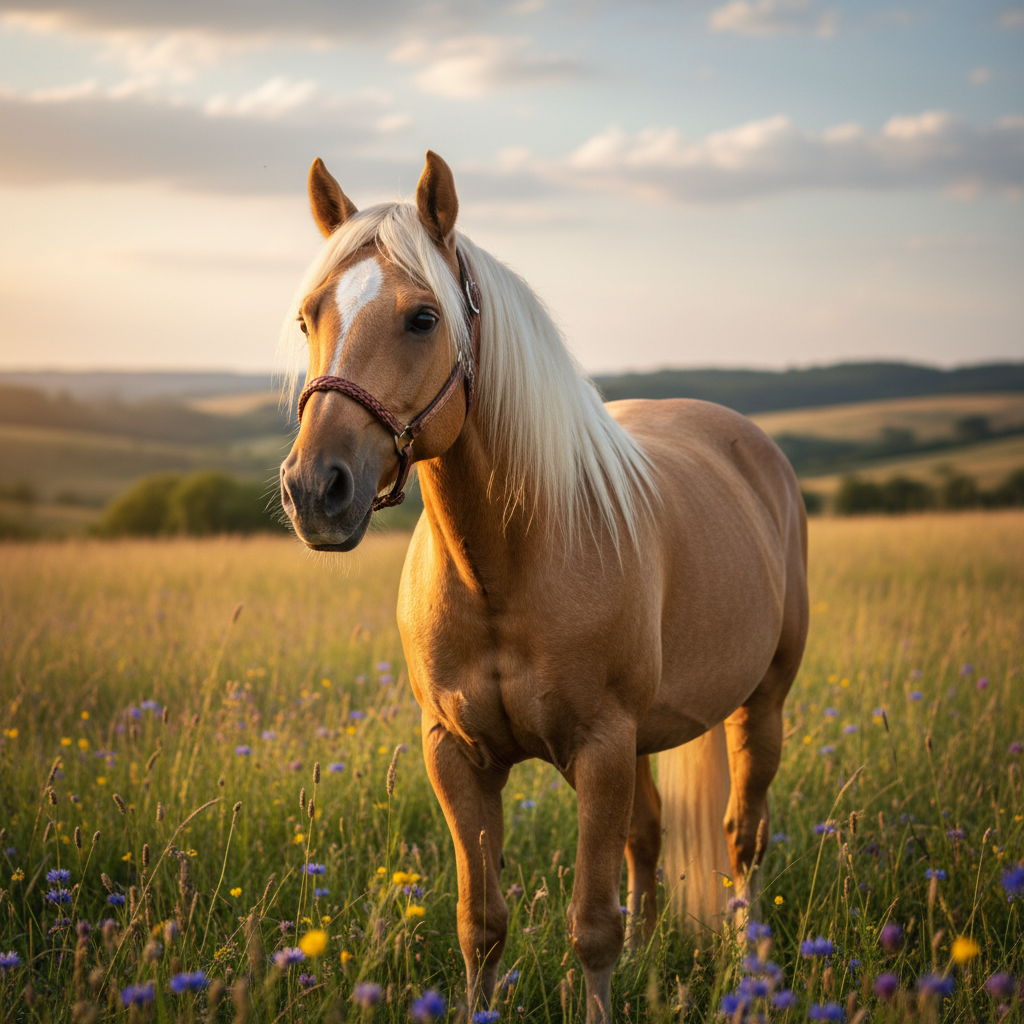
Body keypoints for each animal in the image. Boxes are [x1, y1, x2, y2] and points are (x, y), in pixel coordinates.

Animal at [279, 150, 808, 1022]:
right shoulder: (457, 755)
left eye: (422, 318)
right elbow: (481, 923)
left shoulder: (599, 747)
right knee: (648, 836)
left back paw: (748, 967)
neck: (505, 568)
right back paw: (654, 959)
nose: (315, 490)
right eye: (307, 317)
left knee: (743, 839)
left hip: (759, 707)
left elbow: (590, 925)